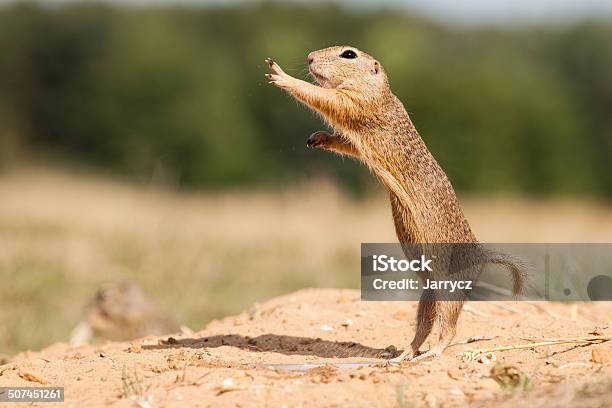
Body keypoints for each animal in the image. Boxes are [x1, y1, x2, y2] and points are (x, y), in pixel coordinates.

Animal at [266, 46, 524, 362]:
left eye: (348, 54)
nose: (310, 57)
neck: (380, 89)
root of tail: (484, 254)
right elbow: (345, 140)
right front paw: (318, 137)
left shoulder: (357, 103)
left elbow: (324, 97)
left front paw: (280, 74)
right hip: (428, 292)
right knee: (425, 323)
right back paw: (404, 354)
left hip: (449, 286)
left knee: (449, 326)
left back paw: (431, 353)